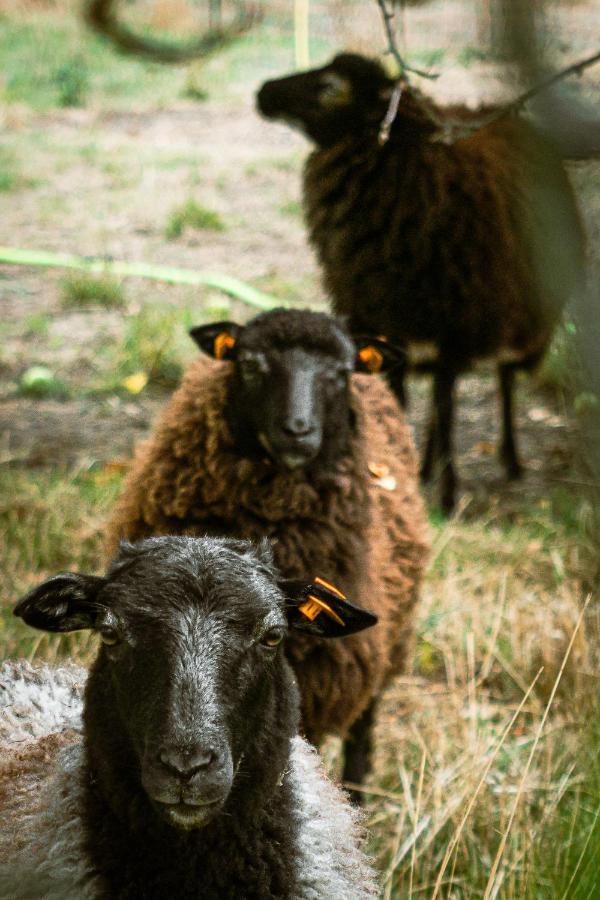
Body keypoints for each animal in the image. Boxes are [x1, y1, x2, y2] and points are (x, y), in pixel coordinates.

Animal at [255, 54, 584, 512]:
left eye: (330, 86)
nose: (263, 92)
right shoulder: (382, 318)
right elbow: (402, 397)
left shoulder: (457, 320)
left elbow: (446, 406)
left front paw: (447, 495)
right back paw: (427, 464)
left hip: (520, 312)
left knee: (503, 378)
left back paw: (510, 459)